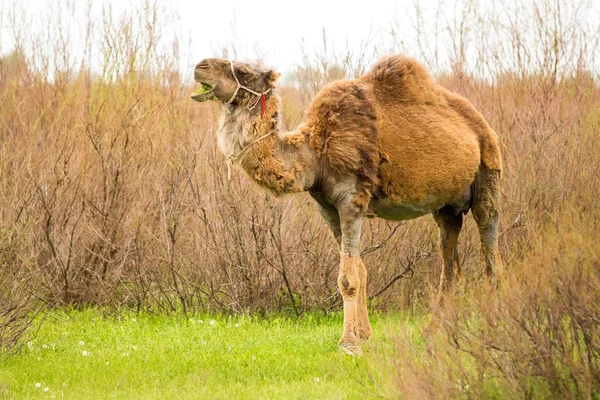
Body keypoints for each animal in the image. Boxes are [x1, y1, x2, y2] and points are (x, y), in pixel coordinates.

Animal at [191, 54, 502, 354]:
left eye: (243, 71)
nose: (200, 66)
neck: (315, 154)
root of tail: (483, 125)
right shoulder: (327, 207)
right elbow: (360, 270)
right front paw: (364, 335)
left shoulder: (352, 201)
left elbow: (348, 277)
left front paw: (349, 343)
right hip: (447, 208)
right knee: (449, 265)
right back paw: (432, 332)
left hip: (488, 175)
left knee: (491, 253)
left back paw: (491, 330)